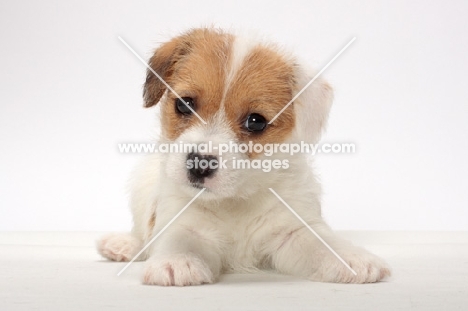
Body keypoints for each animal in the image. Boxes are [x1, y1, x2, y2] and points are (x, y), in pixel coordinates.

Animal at [98, 28, 392, 286]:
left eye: (256, 121)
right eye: (184, 105)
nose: (199, 163)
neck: (235, 200)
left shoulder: (293, 229)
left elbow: (320, 243)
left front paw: (349, 258)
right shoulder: (183, 220)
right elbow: (180, 240)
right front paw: (176, 261)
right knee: (141, 231)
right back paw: (123, 244)